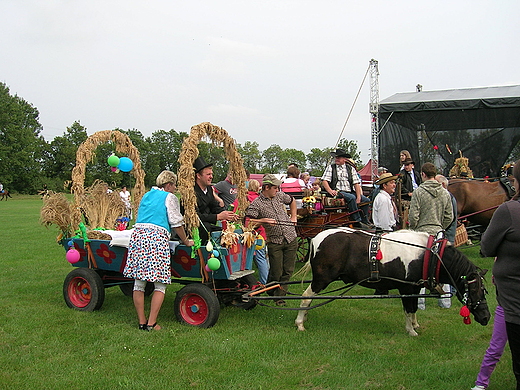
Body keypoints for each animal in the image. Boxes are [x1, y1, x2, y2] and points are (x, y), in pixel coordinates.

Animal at [294, 229, 490, 336]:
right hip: (322, 278)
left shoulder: (415, 287)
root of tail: (316, 238)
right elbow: (408, 308)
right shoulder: (406, 287)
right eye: (474, 290)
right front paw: (411, 330)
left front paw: (415, 324)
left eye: (484, 291)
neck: (429, 255)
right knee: (306, 297)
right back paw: (300, 322)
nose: (486, 317)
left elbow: (414, 308)